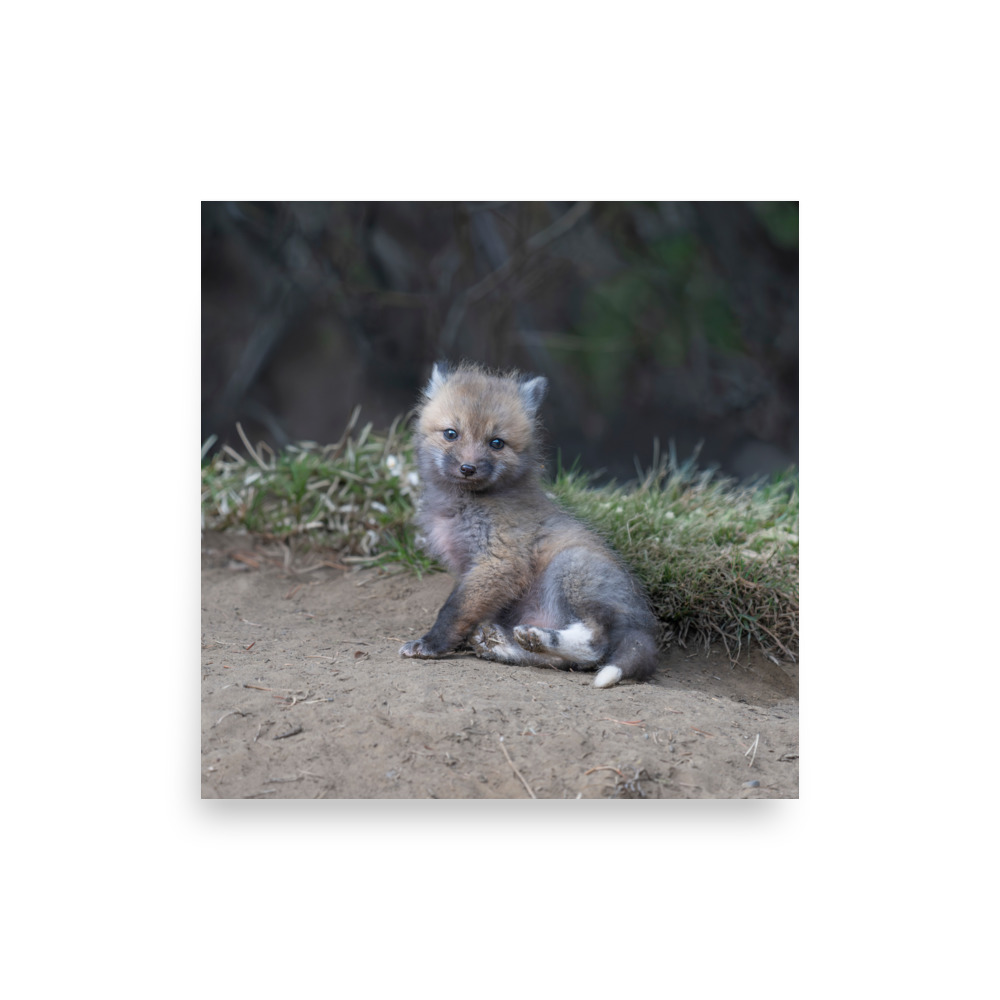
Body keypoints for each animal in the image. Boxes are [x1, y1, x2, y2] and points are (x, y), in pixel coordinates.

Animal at [398, 361, 658, 688]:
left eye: (496, 443)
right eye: (451, 434)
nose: (468, 468)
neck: (464, 506)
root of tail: (645, 624)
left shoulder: (500, 561)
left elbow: (454, 609)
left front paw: (431, 644)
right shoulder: (471, 568)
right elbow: (467, 609)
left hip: (570, 567)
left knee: (595, 645)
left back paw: (536, 637)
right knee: (565, 662)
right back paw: (506, 645)